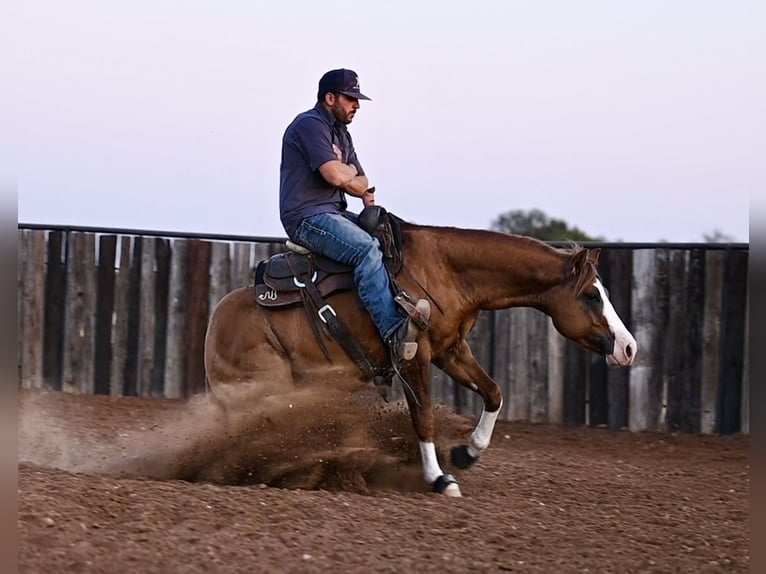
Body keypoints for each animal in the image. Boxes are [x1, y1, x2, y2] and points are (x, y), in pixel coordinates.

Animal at [202, 222, 636, 500]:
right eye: (592, 295)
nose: (629, 347)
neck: (448, 272)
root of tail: (216, 322)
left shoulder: (450, 350)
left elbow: (494, 392)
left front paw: (466, 453)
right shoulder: (415, 353)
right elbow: (423, 416)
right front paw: (439, 478)